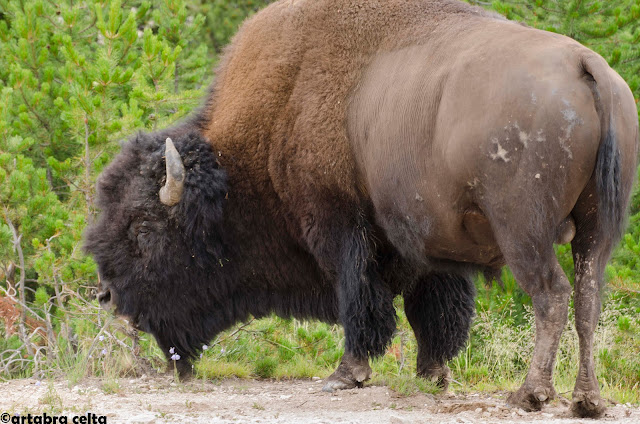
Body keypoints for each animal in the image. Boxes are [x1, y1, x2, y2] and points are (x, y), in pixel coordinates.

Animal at [86, 0, 640, 418]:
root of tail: (585, 66)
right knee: (588, 299)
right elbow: (431, 313)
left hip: (524, 232)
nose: (108, 297)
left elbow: (360, 298)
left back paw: (530, 394)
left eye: (143, 229)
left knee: (552, 297)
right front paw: (433, 376)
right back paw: (587, 401)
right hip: (597, 232)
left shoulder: (339, 227)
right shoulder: (425, 248)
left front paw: (345, 374)